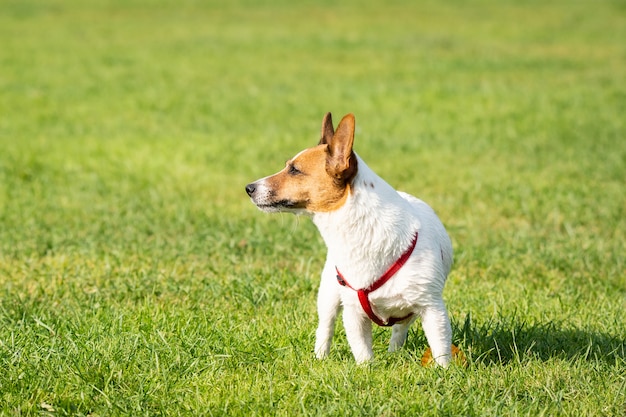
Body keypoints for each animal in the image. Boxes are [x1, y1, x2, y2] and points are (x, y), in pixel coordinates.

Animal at [244, 113, 454, 364]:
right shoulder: (353, 311)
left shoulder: (432, 308)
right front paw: (367, 370)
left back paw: (394, 351)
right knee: (325, 326)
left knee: (399, 329)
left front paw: (443, 371)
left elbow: (440, 348)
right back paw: (320, 357)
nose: (248, 188)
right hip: (328, 293)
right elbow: (362, 352)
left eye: (294, 170)